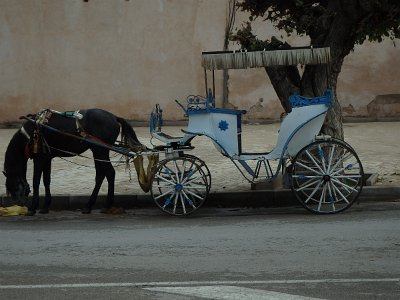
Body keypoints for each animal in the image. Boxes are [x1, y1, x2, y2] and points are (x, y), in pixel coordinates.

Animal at [1, 108, 145, 216]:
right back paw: (92, 205)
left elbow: (36, 181)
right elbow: (46, 180)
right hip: (97, 150)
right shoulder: (47, 158)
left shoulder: (39, 158)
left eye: (13, 186)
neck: (31, 132)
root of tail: (114, 117)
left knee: (108, 173)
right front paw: (45, 206)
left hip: (101, 150)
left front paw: (33, 208)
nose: (18, 203)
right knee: (102, 174)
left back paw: (102, 204)